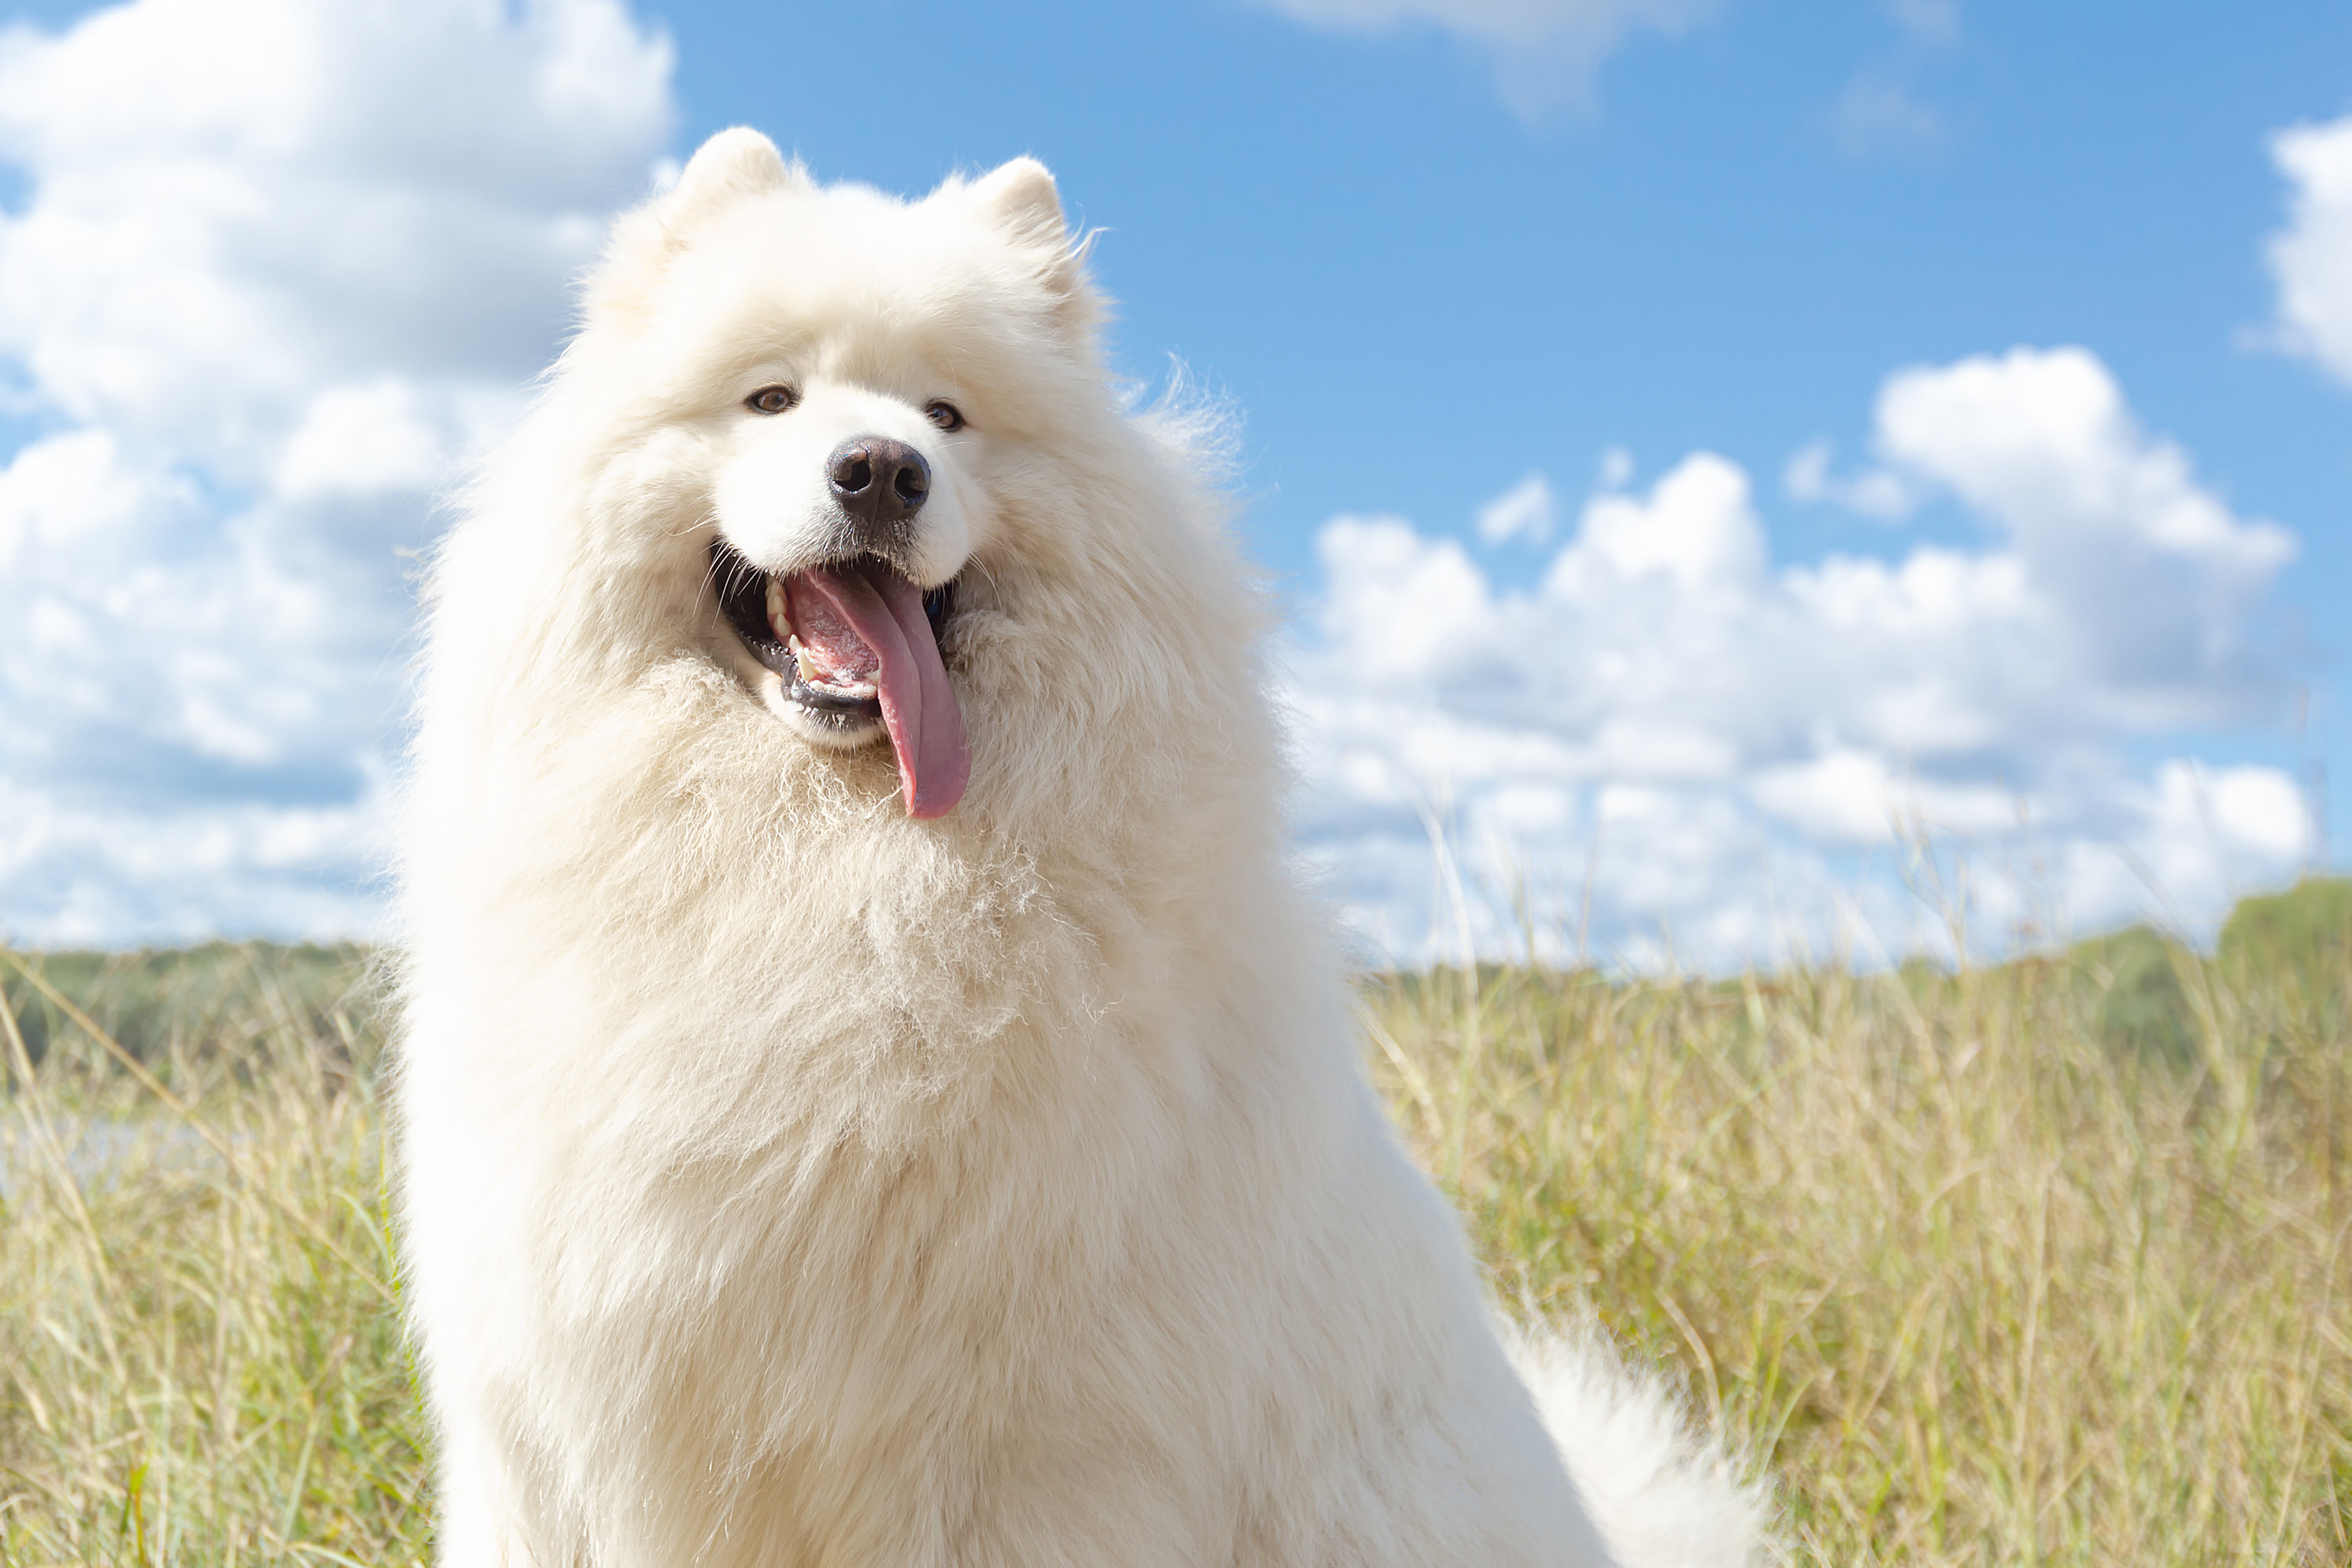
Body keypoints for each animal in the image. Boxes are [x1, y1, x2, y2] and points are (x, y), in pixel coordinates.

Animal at [400, 125, 1769, 1568]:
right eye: (771, 399)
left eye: (948, 417)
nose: (880, 470)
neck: (841, 875)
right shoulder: (552, 1439)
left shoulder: (1037, 1464)